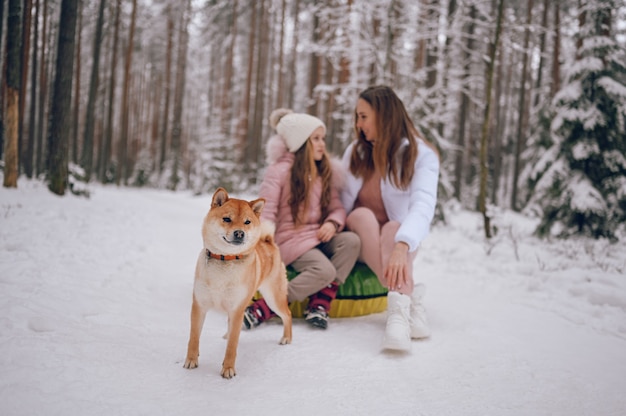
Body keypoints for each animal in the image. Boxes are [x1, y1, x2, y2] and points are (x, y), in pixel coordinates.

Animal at [182, 187, 292, 378]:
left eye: (247, 222)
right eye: (227, 219)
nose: (240, 233)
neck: (225, 259)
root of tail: (268, 242)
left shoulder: (237, 309)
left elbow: (232, 346)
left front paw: (228, 369)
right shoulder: (199, 305)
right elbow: (194, 337)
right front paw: (191, 360)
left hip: (273, 298)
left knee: (287, 315)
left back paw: (287, 338)